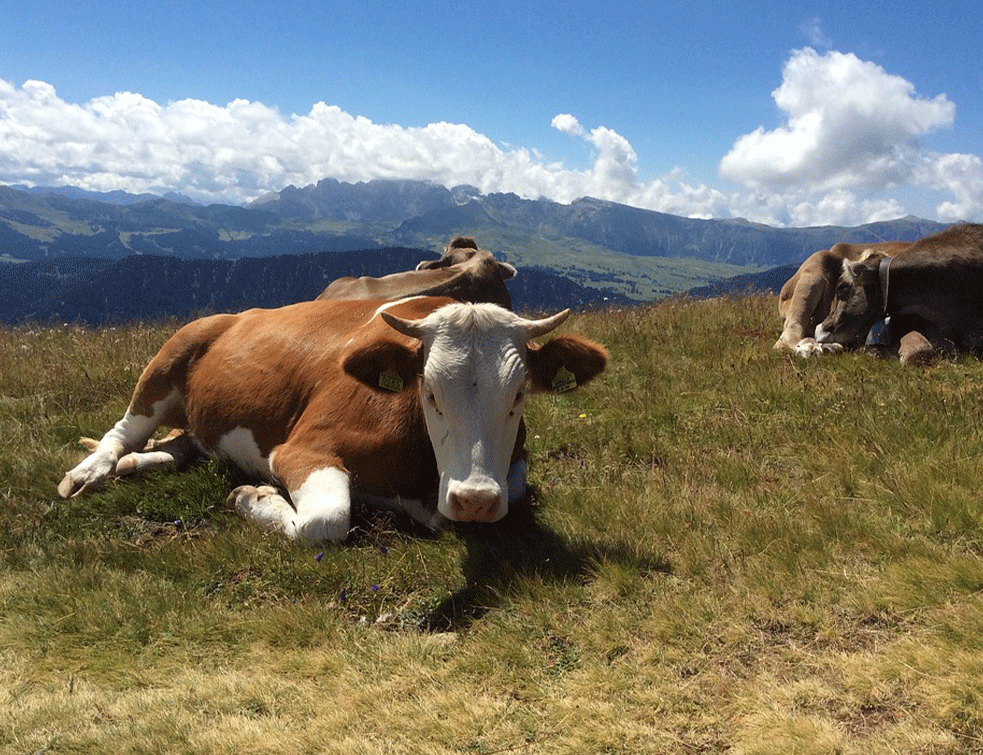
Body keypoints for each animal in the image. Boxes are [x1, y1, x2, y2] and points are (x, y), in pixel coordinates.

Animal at [57, 296, 608, 544]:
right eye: (429, 392)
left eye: (519, 394)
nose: (473, 499)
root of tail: (236, 314)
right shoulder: (303, 448)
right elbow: (325, 521)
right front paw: (253, 497)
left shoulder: (511, 468)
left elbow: (507, 496)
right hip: (170, 356)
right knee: (122, 430)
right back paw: (92, 472)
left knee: (184, 440)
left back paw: (141, 463)